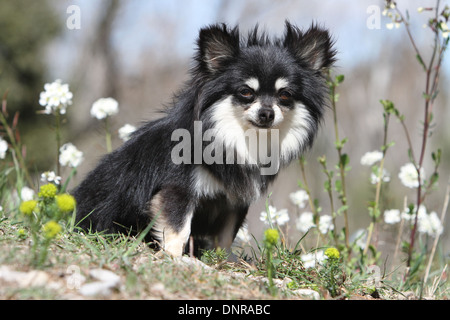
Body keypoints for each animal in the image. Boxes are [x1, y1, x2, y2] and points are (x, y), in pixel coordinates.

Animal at [74, 21, 334, 256]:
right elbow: (178, 230)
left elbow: (226, 238)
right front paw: (174, 258)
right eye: (246, 92)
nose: (267, 113)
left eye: (285, 95)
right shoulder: (177, 190)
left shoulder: (233, 202)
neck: (237, 139)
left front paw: (225, 262)